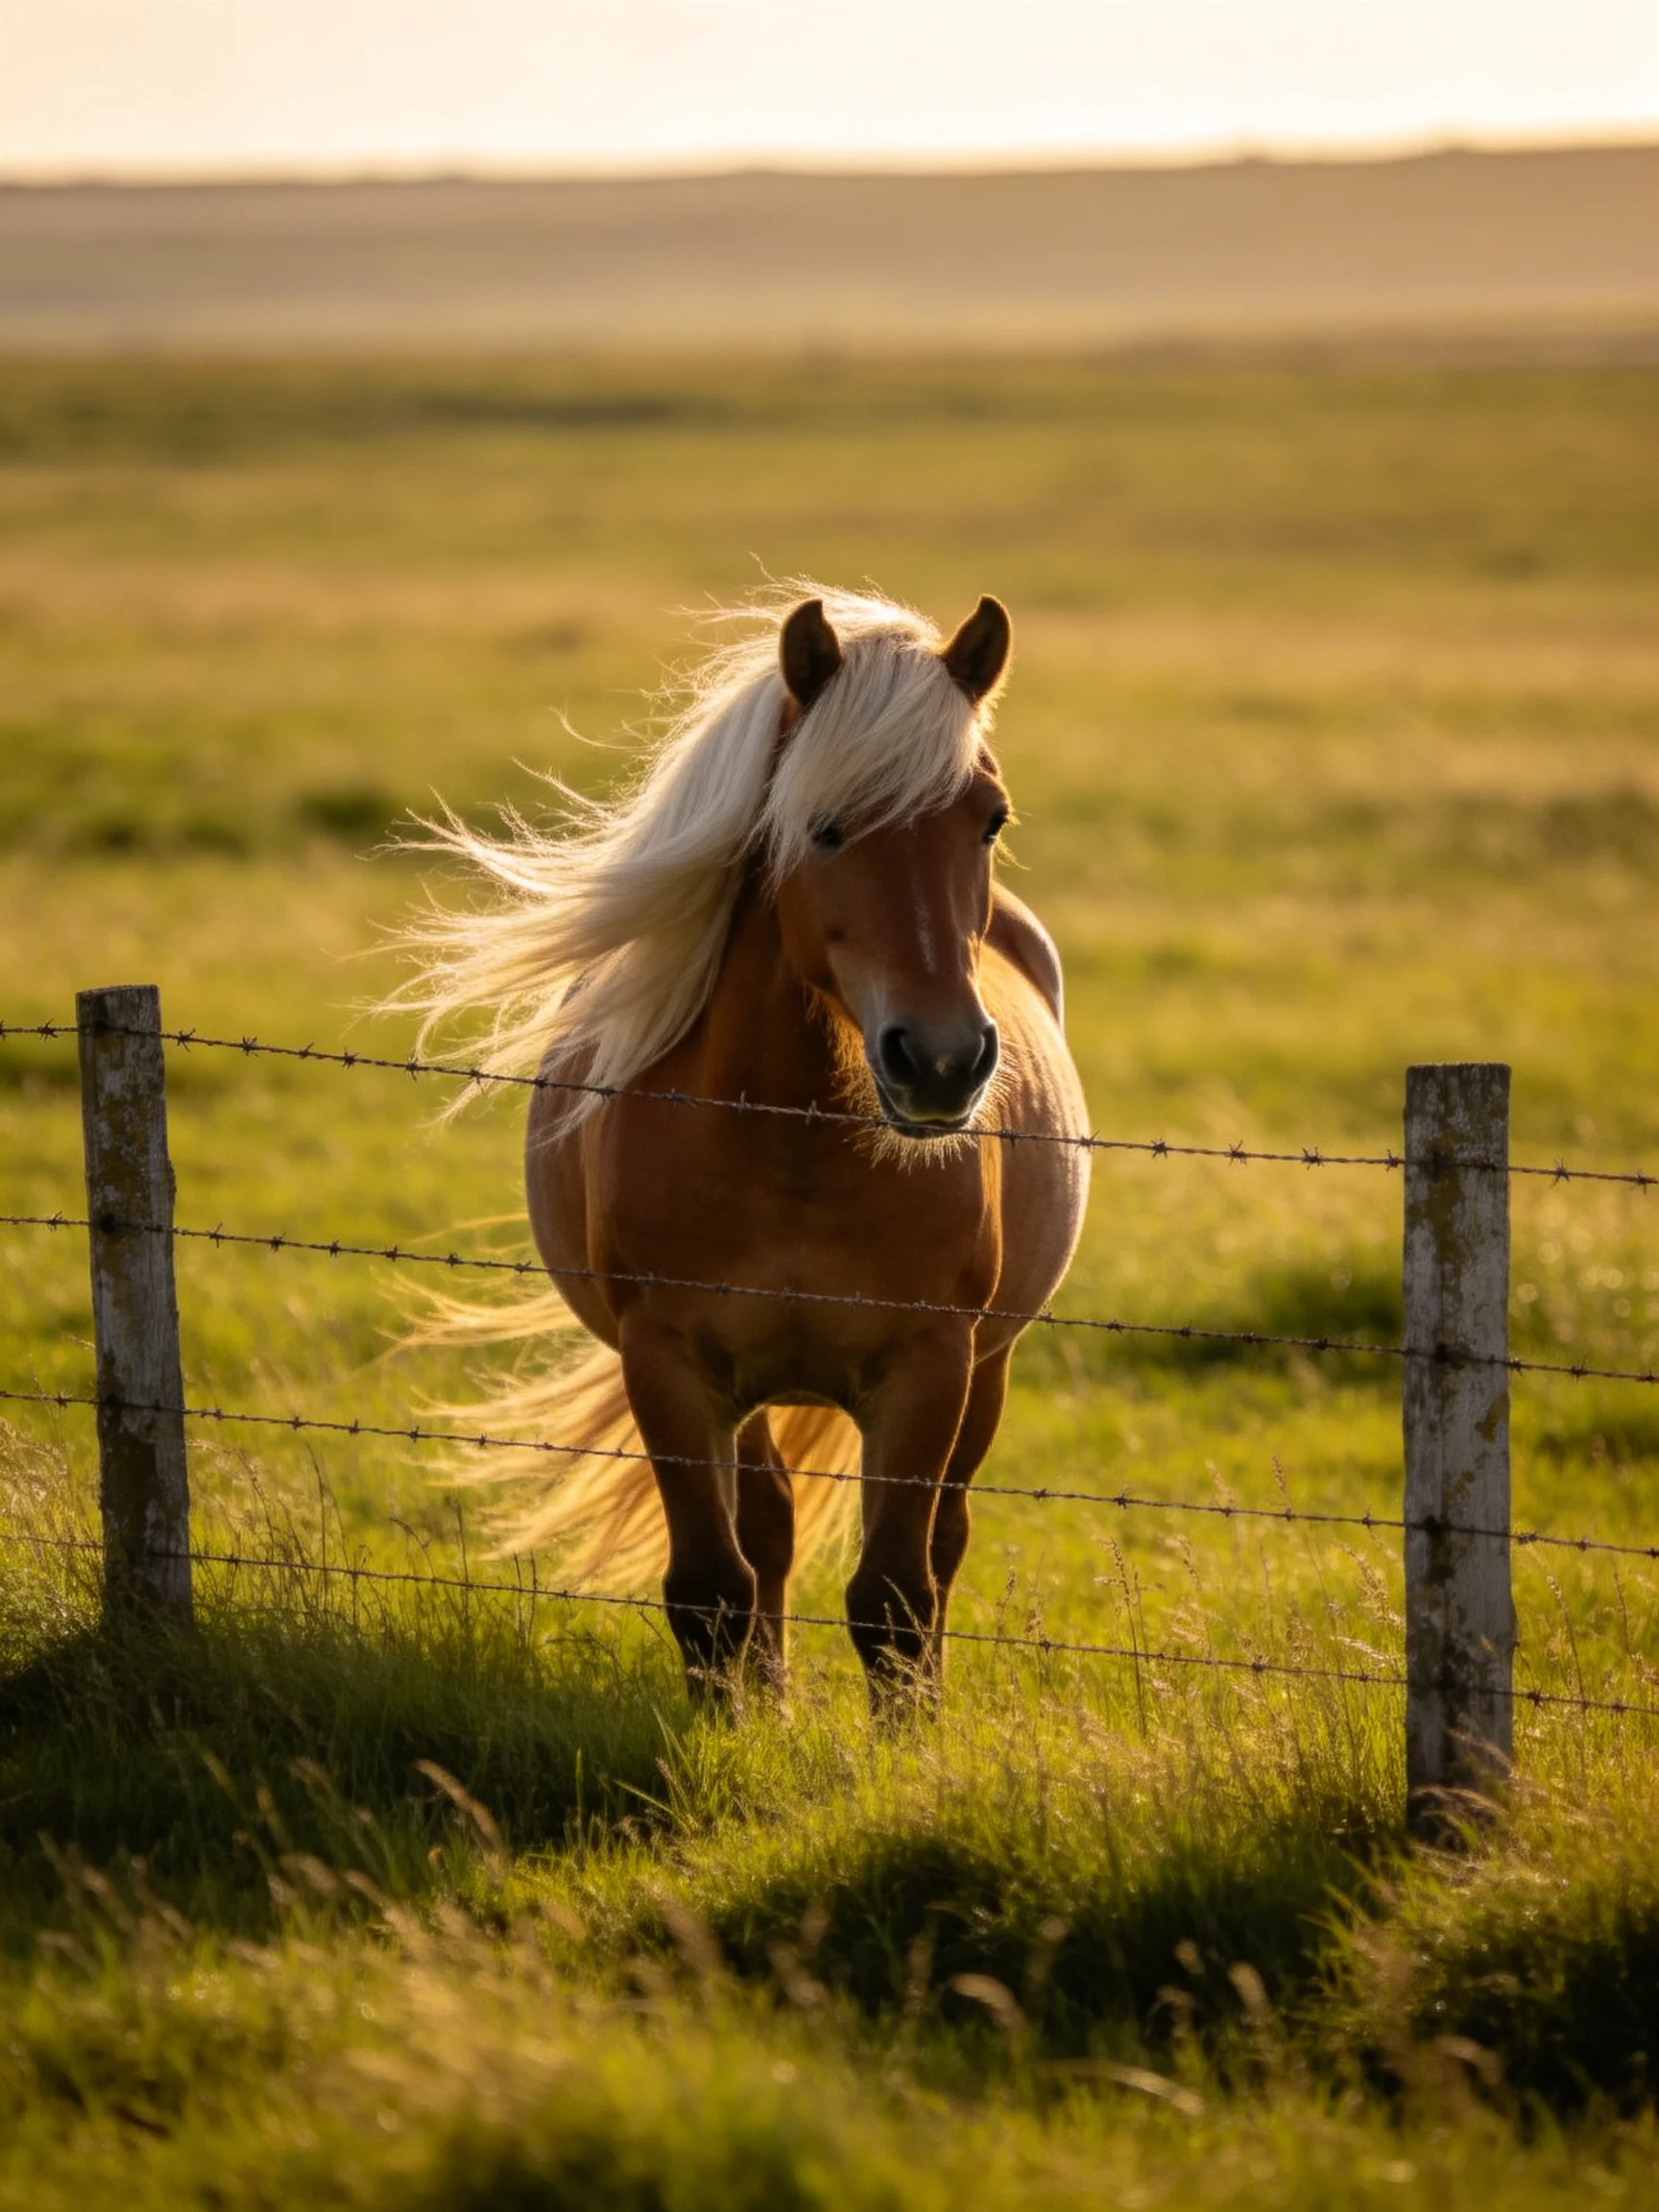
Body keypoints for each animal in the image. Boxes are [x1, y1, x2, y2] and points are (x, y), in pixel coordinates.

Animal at [401, 586, 1089, 1702]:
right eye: (822, 826)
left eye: (990, 820)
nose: (942, 1061)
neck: (790, 1146)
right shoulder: (670, 1364)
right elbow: (712, 1589)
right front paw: (733, 1727)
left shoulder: (930, 1366)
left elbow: (894, 1598)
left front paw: (911, 1742)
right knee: (767, 1530)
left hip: (990, 1366)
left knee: (941, 1541)